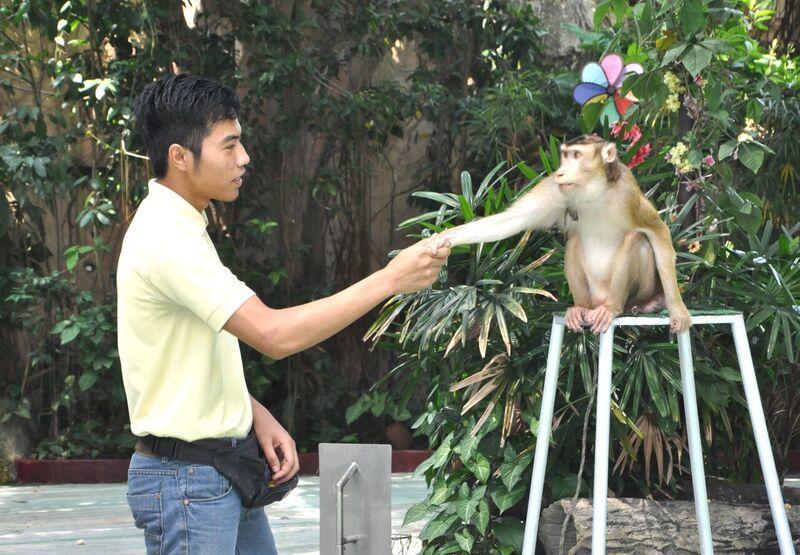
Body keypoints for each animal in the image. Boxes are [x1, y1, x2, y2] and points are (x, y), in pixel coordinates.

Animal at [434, 134, 692, 334]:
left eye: (576, 156)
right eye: (565, 156)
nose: (560, 172)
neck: (594, 192)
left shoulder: (628, 192)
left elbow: (657, 232)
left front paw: (678, 311)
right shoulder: (555, 188)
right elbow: (510, 220)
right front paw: (440, 241)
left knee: (636, 239)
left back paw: (615, 307)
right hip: (592, 294)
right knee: (574, 242)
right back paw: (582, 309)